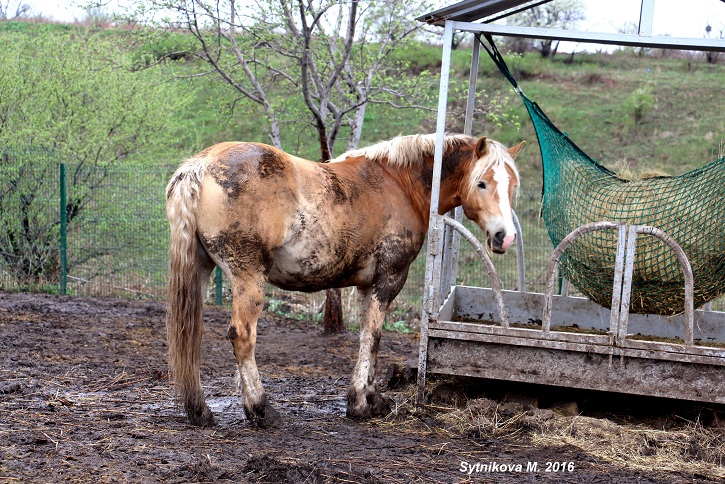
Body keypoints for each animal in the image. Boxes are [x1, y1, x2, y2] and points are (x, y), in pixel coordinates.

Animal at [167, 133, 524, 428]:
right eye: (483, 183)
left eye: (512, 186)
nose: (505, 236)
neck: (401, 183)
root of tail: (200, 166)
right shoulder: (389, 279)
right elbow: (374, 337)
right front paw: (364, 404)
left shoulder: (367, 286)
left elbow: (367, 336)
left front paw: (369, 399)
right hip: (249, 278)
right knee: (242, 335)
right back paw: (261, 409)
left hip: (200, 271)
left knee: (191, 332)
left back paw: (200, 411)